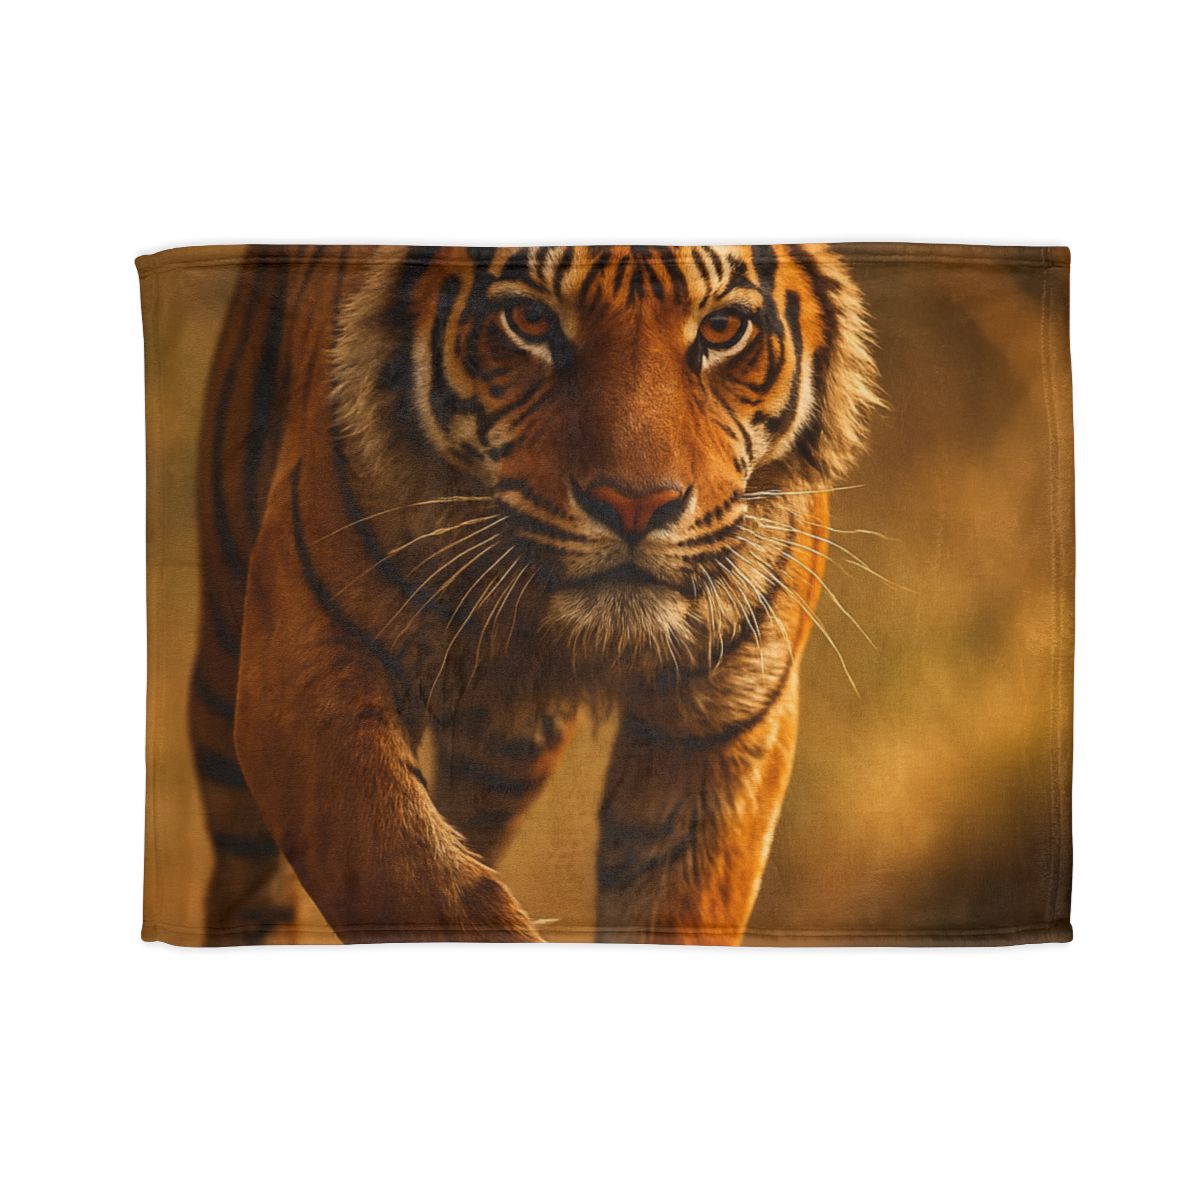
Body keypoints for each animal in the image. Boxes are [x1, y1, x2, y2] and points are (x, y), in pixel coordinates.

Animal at [189, 244, 882, 945]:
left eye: (721, 329)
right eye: (529, 318)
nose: (635, 506)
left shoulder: (722, 720)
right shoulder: (307, 674)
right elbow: (425, 884)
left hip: (512, 749)